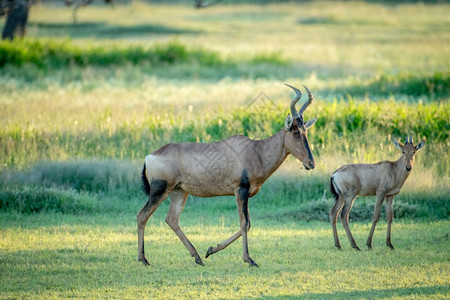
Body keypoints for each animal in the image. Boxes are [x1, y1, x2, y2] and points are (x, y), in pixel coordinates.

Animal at [139, 84, 318, 268]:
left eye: (305, 131)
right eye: (295, 131)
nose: (310, 163)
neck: (256, 151)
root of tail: (149, 156)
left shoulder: (244, 193)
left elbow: (247, 224)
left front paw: (211, 250)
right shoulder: (240, 190)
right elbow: (244, 223)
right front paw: (249, 259)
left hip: (179, 192)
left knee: (172, 219)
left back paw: (197, 257)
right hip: (160, 190)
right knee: (142, 216)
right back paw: (143, 259)